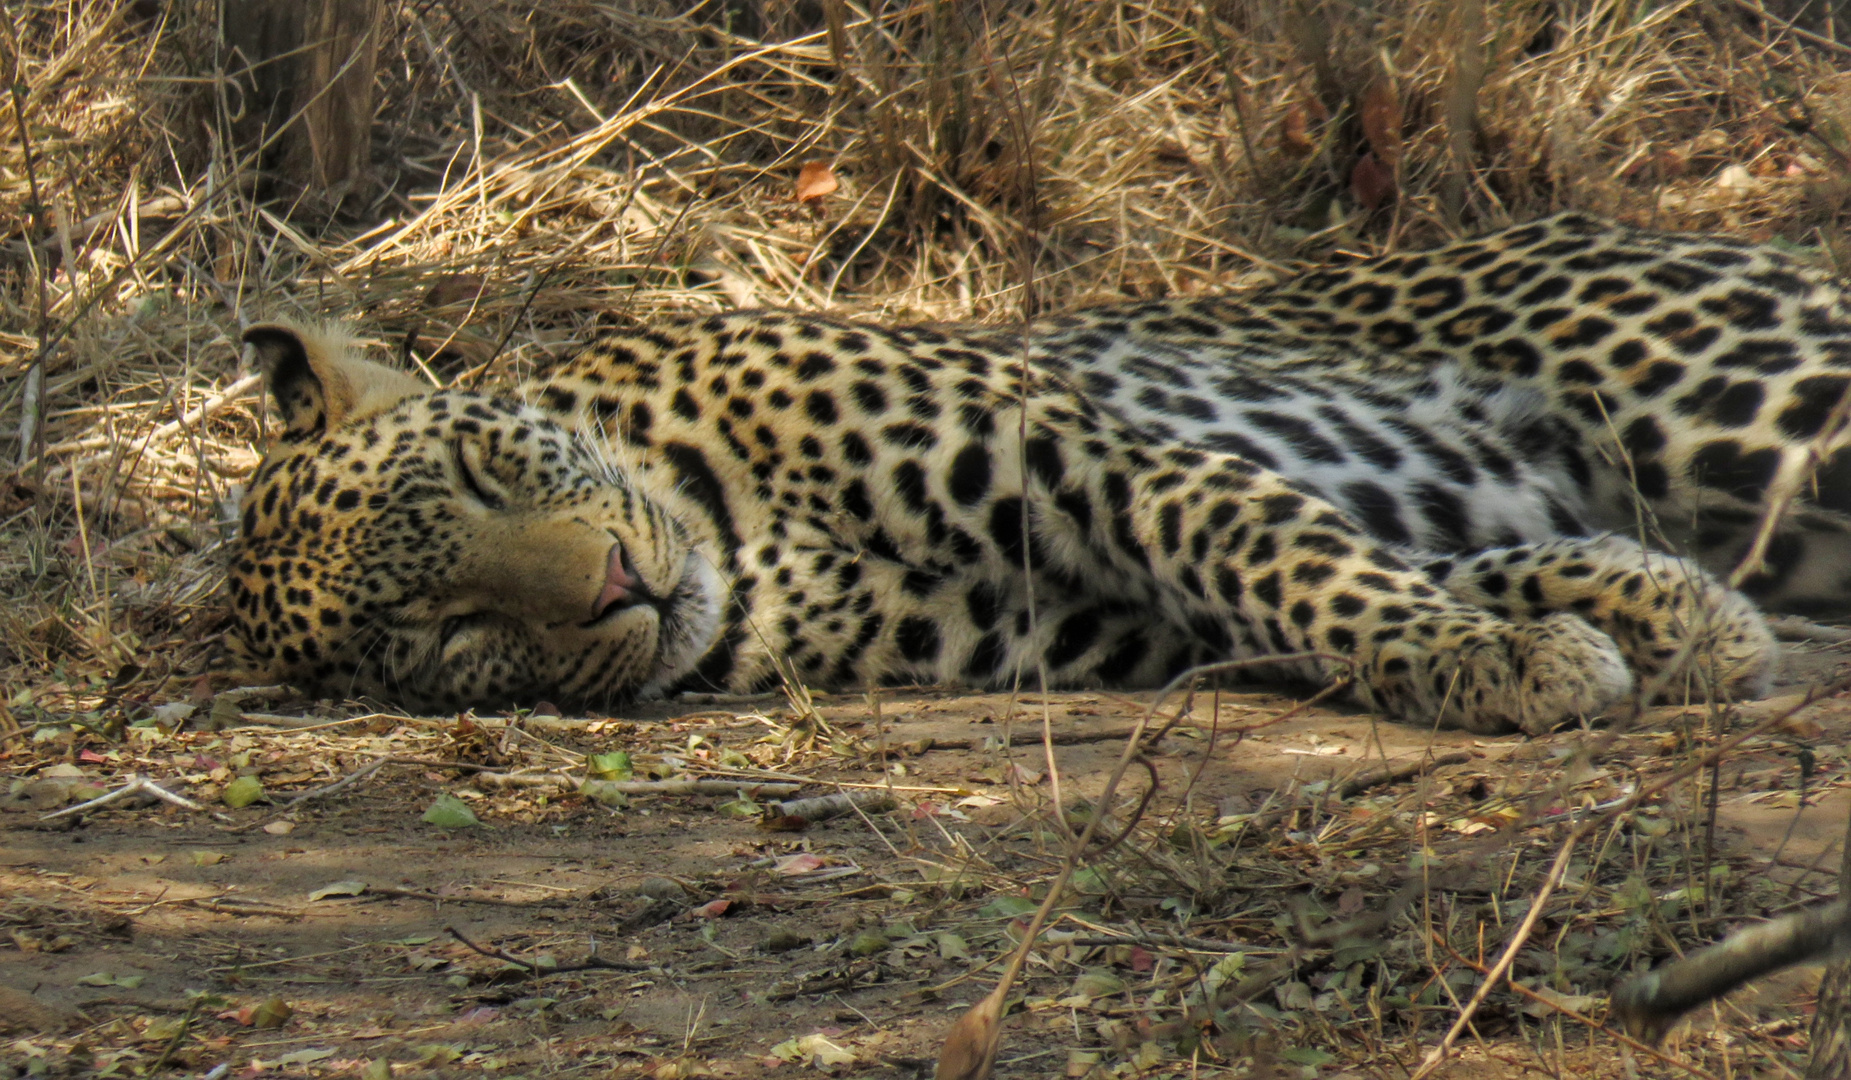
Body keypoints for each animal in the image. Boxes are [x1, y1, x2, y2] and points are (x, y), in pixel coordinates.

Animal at [223, 212, 1843, 740]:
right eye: (452, 640)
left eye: (487, 470)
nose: (621, 588)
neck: (733, 534)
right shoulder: (1074, 628)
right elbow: (1356, 572)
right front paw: (1626, 619)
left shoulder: (1072, 450)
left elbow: (1280, 547)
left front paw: (1512, 653)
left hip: (1750, 403)